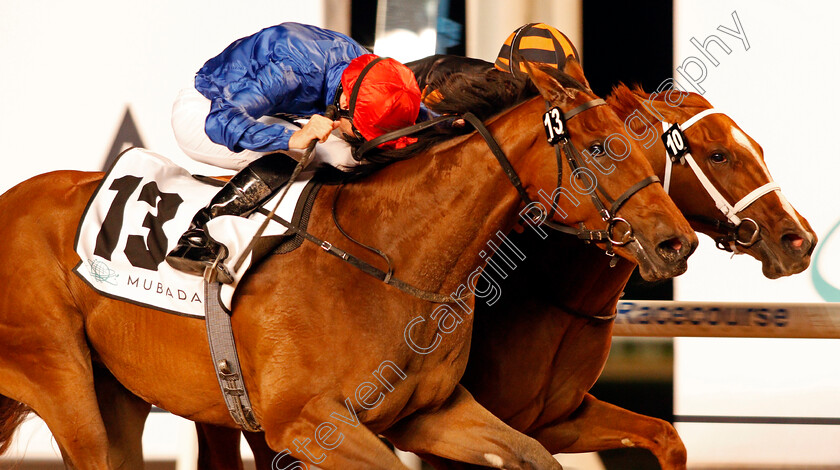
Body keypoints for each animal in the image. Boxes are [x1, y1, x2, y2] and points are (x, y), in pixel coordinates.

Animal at [0, 62, 696, 470]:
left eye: (646, 147)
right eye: (602, 148)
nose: (677, 243)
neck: (395, 262)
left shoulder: (431, 413)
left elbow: (534, 455)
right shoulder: (308, 423)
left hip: (119, 392)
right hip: (63, 383)